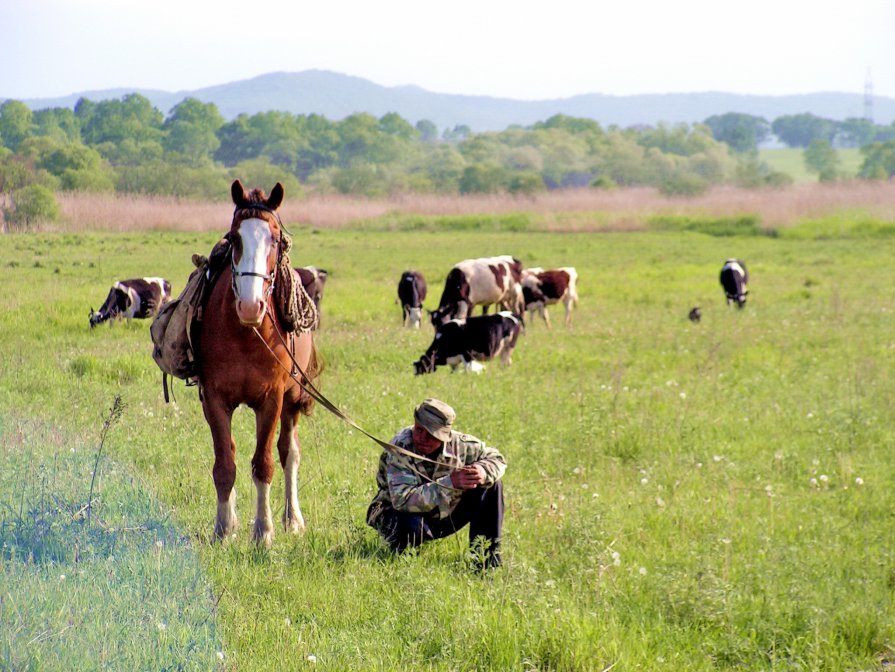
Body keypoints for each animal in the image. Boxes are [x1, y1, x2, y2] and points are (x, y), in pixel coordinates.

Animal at [200, 178, 318, 544]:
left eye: (275, 239)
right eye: (234, 238)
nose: (251, 305)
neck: (246, 333)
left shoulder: (271, 399)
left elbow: (264, 464)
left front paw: (263, 533)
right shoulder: (214, 399)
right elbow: (225, 463)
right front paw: (223, 529)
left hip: (292, 400)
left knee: (288, 453)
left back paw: (293, 519)